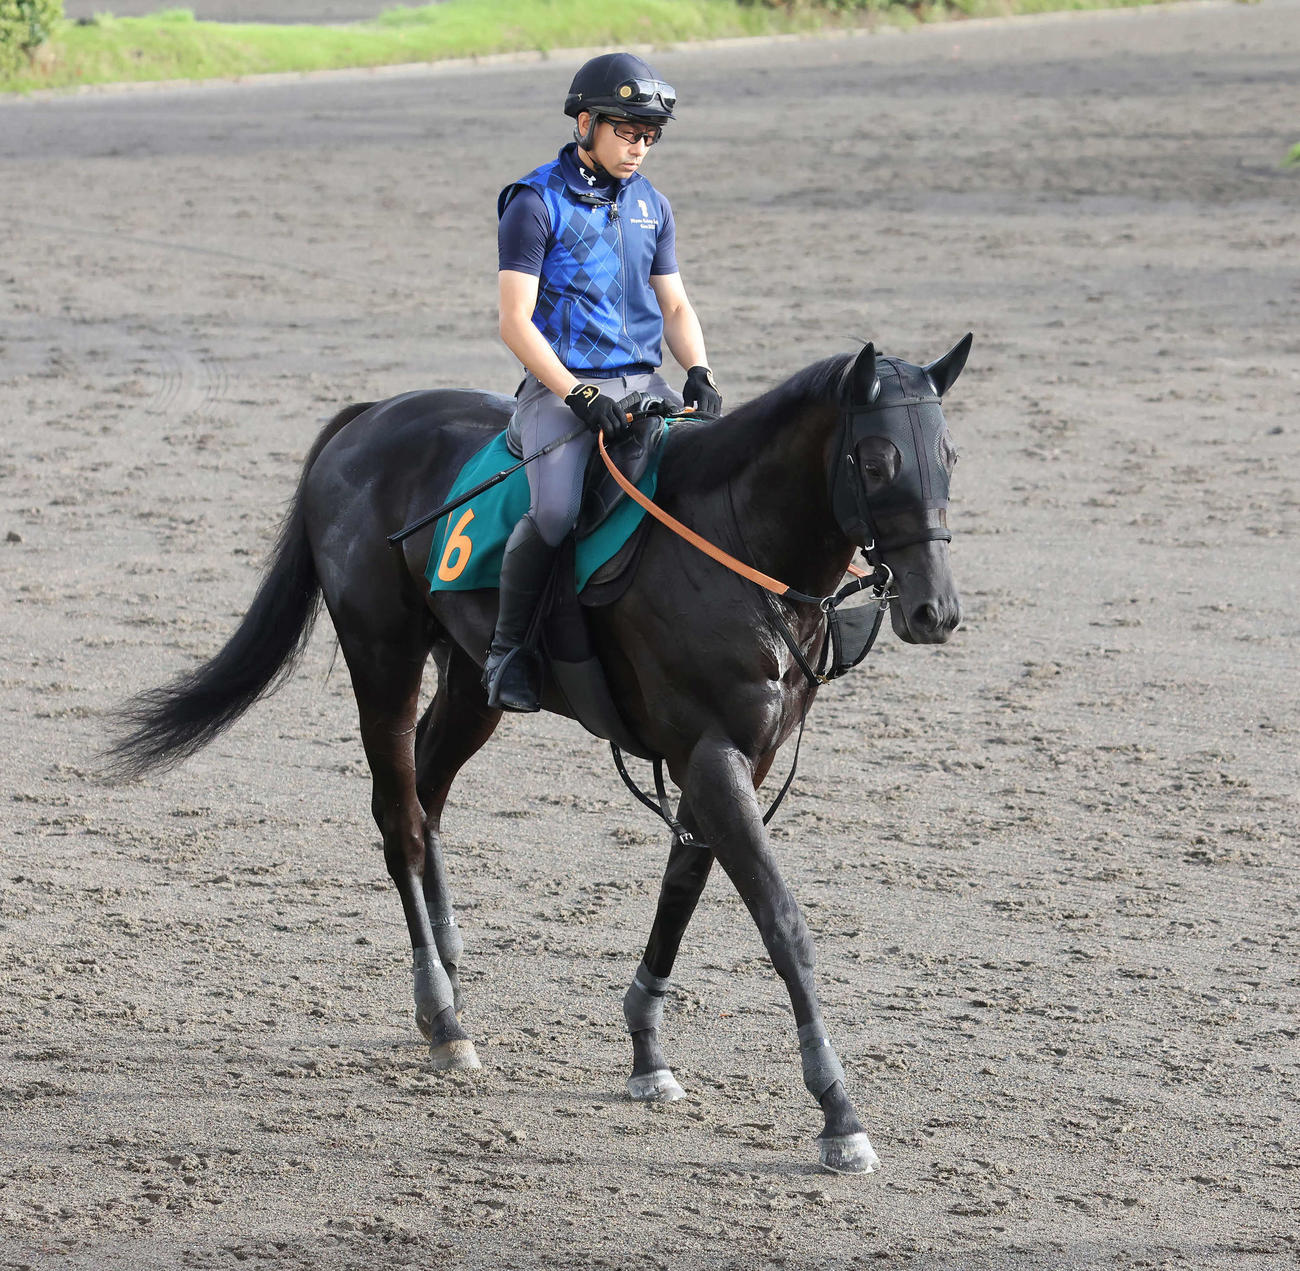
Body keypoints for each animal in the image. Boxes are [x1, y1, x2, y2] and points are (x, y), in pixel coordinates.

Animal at [109, 334, 971, 1174]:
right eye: (875, 460)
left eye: (948, 455)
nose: (936, 610)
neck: (731, 541)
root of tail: (371, 415)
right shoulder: (710, 754)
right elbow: (782, 921)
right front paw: (838, 1112)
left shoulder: (730, 760)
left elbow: (680, 894)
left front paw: (647, 1048)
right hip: (382, 656)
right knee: (400, 818)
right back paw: (444, 1014)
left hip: (472, 680)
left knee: (428, 791)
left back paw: (445, 980)